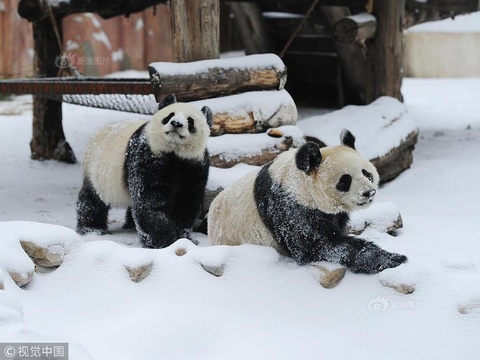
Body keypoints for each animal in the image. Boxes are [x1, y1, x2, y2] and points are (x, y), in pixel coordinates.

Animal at [77, 94, 212, 249]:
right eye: (169, 115)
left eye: (190, 121)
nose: (176, 123)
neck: (174, 154)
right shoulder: (146, 156)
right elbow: (149, 202)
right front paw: (164, 242)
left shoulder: (194, 166)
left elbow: (185, 202)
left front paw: (184, 237)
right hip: (96, 171)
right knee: (92, 200)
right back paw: (93, 229)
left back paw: (130, 225)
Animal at [208, 131, 406, 274]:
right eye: (345, 180)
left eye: (366, 173)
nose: (368, 193)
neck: (301, 184)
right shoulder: (289, 209)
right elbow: (322, 247)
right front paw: (393, 259)